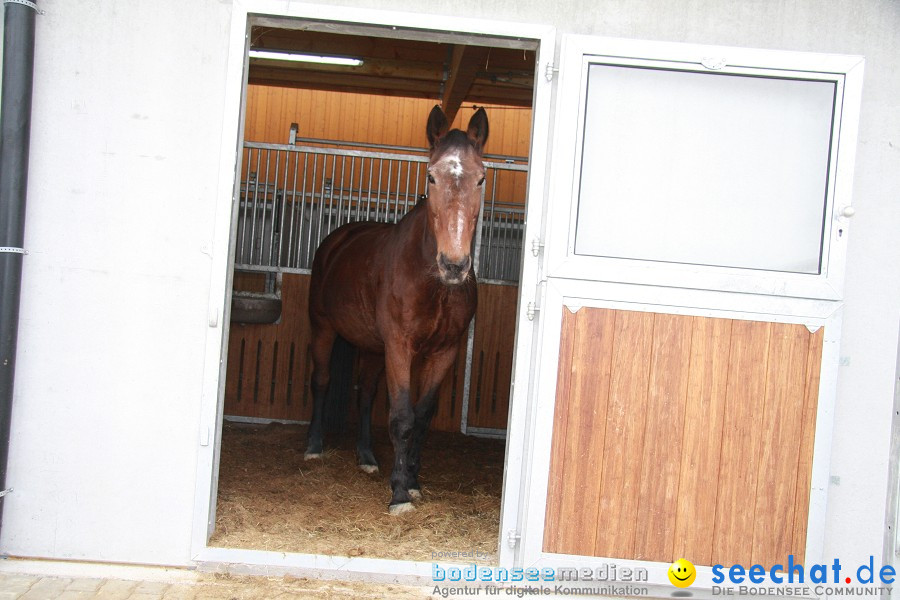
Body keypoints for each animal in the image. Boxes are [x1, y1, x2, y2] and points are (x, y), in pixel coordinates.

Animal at [304, 105, 488, 512]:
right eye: (431, 176)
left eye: (481, 178)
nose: (454, 265)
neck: (431, 281)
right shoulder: (400, 347)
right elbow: (402, 417)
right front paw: (400, 495)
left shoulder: (445, 351)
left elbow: (421, 418)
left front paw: (413, 481)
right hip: (323, 328)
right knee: (321, 381)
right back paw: (313, 447)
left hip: (373, 348)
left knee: (366, 395)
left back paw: (367, 457)